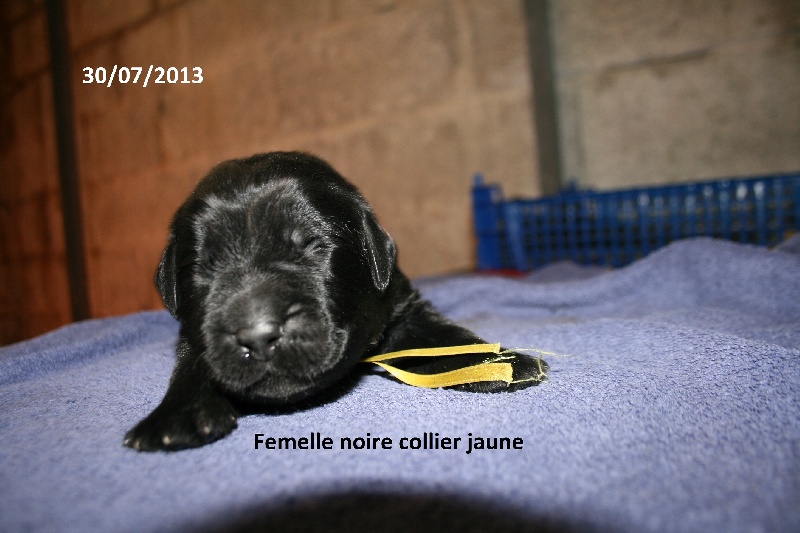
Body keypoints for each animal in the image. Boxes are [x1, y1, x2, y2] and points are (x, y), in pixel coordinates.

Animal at [124, 152, 547, 451]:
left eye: (313, 246)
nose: (259, 336)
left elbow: (444, 338)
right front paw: (177, 415)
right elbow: (193, 360)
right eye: (201, 266)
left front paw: (503, 363)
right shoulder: (194, 332)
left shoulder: (401, 306)